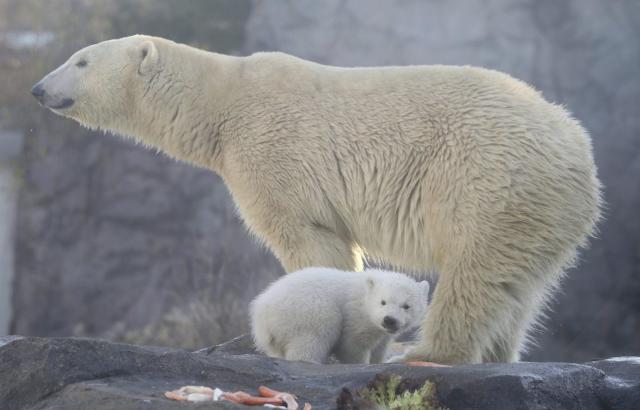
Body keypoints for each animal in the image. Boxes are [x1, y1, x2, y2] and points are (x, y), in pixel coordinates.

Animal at [31, 34, 600, 362]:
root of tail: (578, 151)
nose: (37, 89)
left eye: (81, 61)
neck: (222, 104)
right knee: (518, 289)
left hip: (487, 180)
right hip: (540, 212)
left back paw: (423, 351)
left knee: (472, 275)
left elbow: (308, 238)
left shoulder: (274, 151)